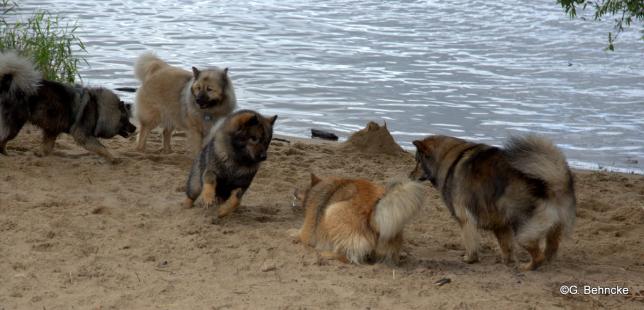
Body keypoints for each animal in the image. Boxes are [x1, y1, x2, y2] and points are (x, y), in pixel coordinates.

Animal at [0, 50, 136, 162]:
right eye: (125, 120)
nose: (134, 128)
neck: (99, 110)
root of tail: (7, 84)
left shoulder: (52, 130)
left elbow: (47, 147)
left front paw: (39, 154)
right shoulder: (83, 135)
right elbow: (102, 148)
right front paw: (113, 158)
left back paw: (7, 155)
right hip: (14, 126)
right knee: (3, 140)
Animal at [416, 134, 576, 270]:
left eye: (418, 161)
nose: (411, 175)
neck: (448, 158)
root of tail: (549, 183)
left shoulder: (465, 219)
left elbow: (470, 243)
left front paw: (470, 259)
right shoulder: (501, 225)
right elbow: (506, 246)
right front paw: (507, 262)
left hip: (523, 229)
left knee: (537, 255)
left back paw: (527, 267)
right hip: (552, 227)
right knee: (550, 248)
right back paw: (546, 262)